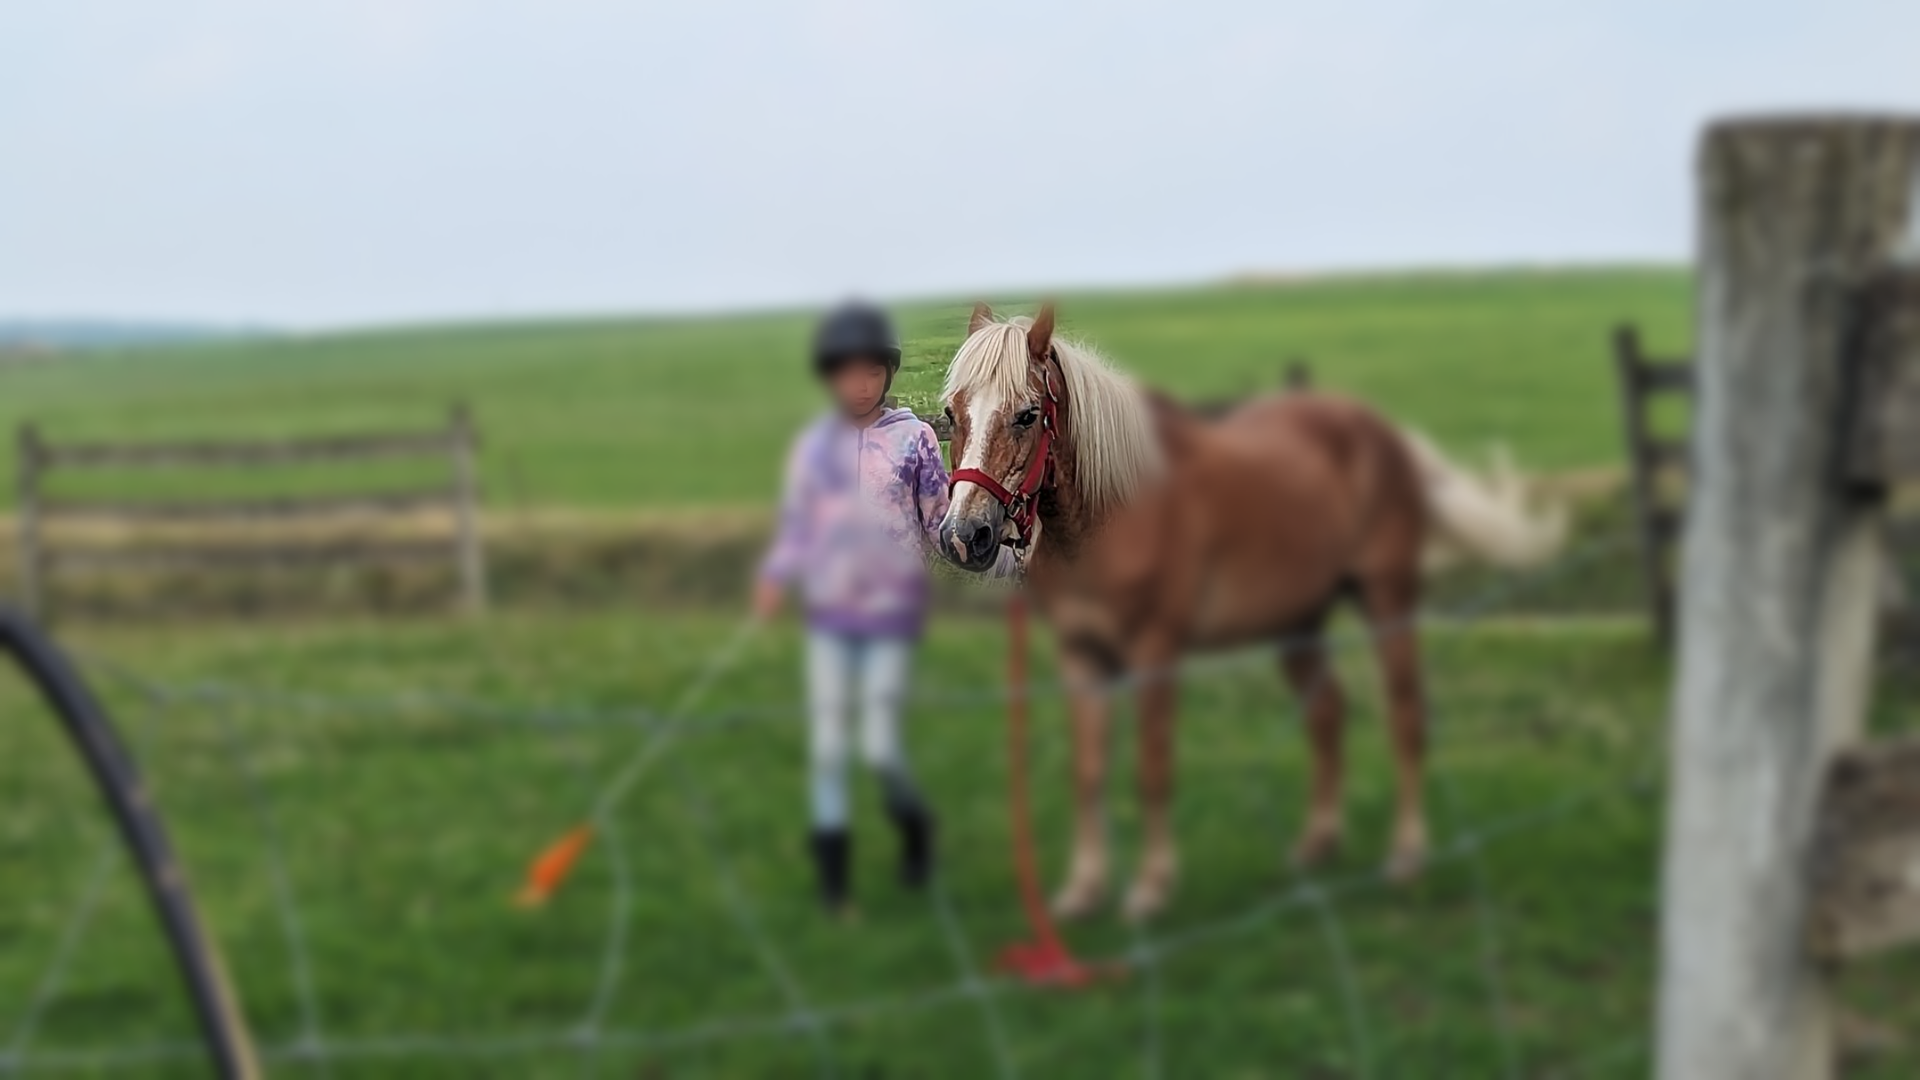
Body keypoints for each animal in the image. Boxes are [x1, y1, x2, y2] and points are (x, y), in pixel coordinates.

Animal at [936, 303, 1563, 921]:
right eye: (950, 412)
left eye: (1027, 415)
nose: (965, 536)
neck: (1117, 513)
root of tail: (1379, 431)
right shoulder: (1081, 654)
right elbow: (1088, 772)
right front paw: (1083, 891)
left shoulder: (1156, 652)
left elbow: (1152, 768)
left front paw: (1151, 889)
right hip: (1298, 621)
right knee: (1328, 714)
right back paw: (1317, 845)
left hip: (1387, 600)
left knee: (1406, 719)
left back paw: (1406, 857)